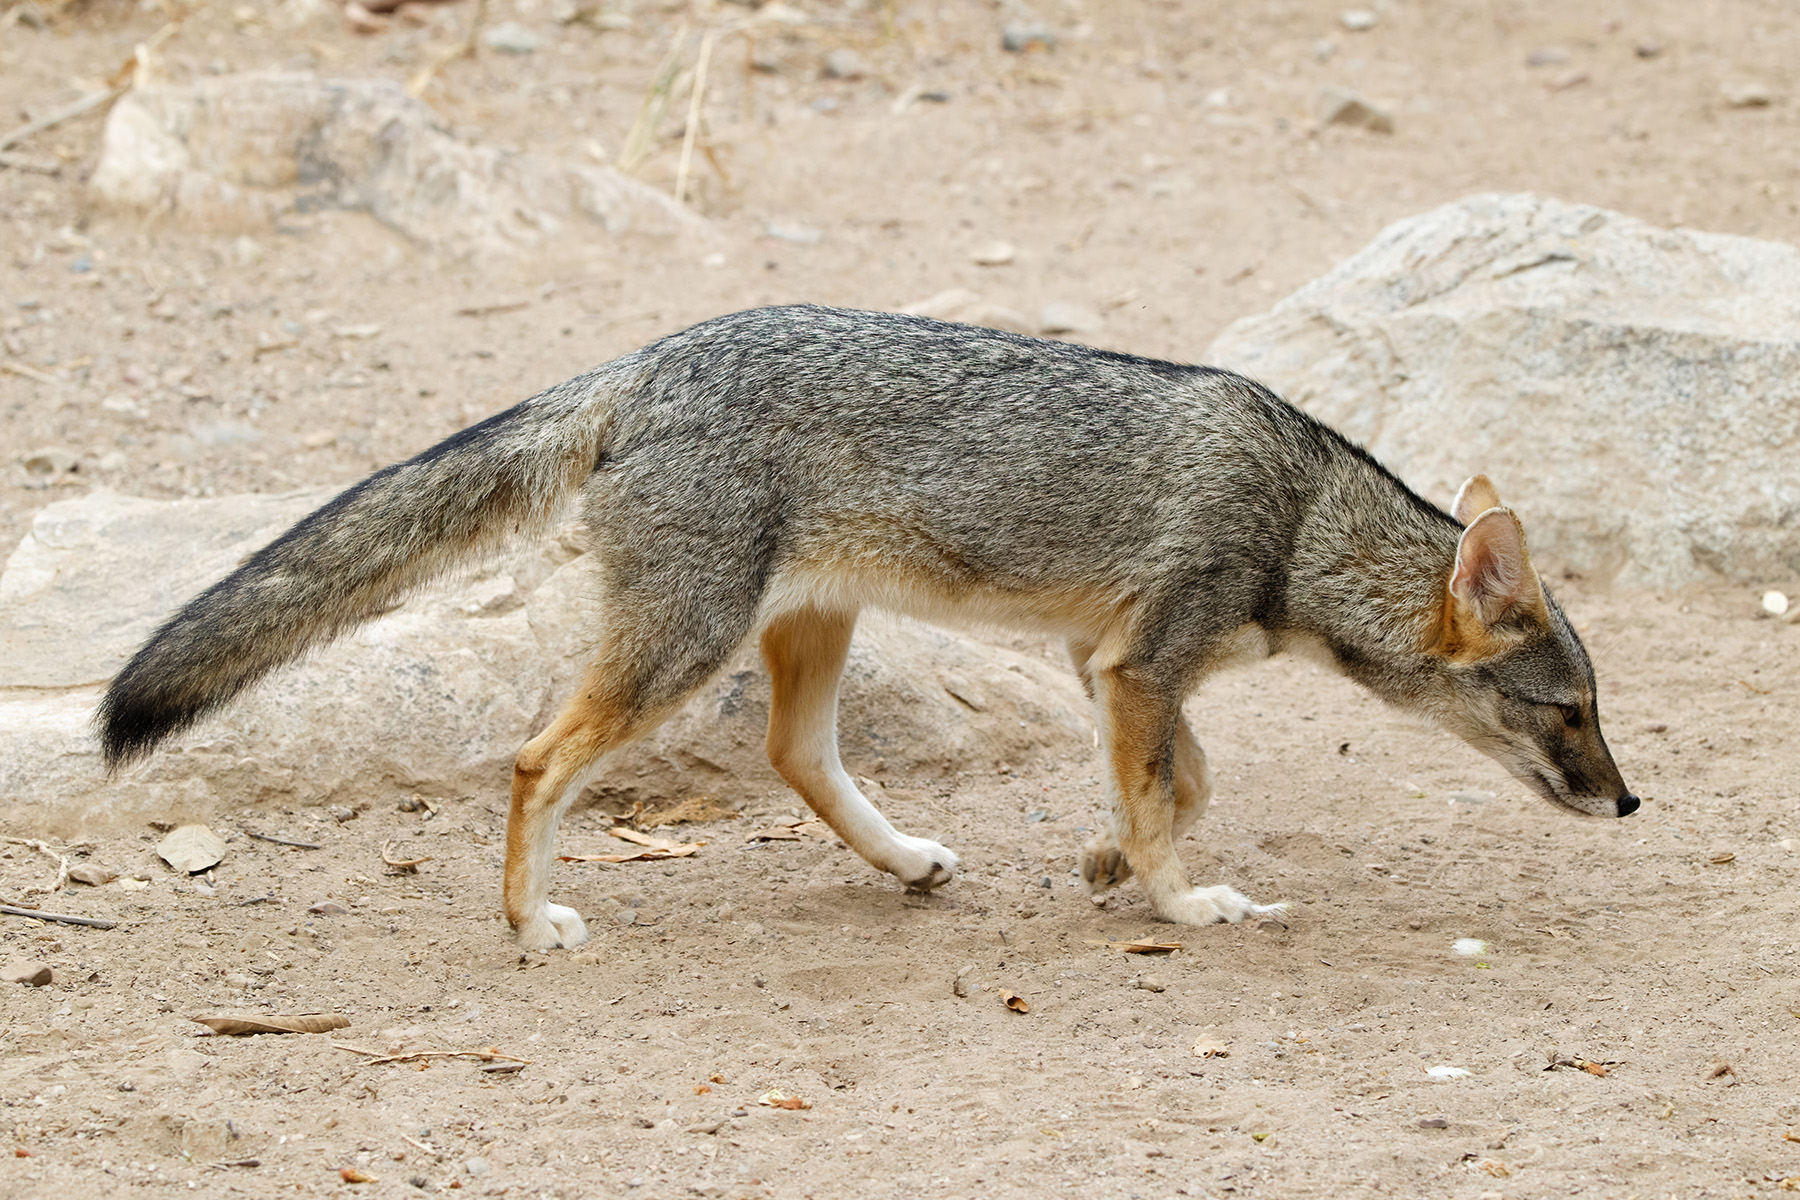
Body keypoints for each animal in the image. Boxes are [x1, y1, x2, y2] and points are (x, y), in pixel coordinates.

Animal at [97, 304, 1636, 951]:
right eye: (1565, 711)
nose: (1630, 804)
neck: (1305, 518)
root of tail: (645, 359)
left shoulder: (1109, 662)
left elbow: (1182, 780)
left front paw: (1109, 860)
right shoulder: (1145, 659)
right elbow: (1172, 790)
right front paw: (1184, 901)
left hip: (806, 629)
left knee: (793, 755)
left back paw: (903, 861)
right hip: (685, 647)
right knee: (538, 758)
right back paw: (531, 923)